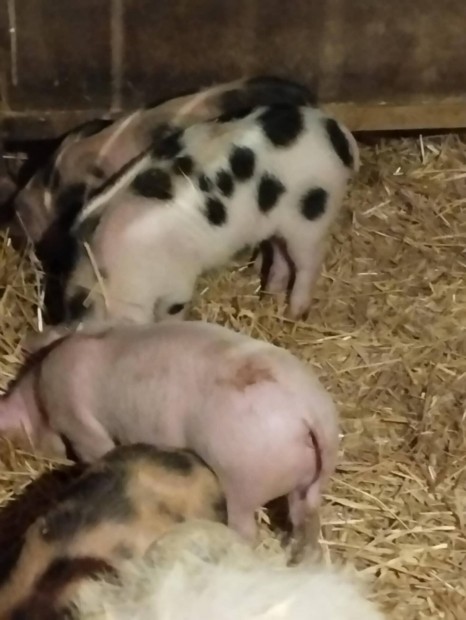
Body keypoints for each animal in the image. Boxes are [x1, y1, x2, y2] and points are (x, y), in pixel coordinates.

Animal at [0, 320, 339, 545]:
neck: (38, 395)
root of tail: (309, 412)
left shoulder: (81, 427)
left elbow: (95, 450)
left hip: (241, 476)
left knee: (246, 530)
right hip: (309, 480)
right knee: (305, 518)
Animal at [62, 102, 359, 325]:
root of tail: (337, 131)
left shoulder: (177, 284)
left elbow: (172, 310)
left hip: (312, 218)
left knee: (309, 262)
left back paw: (294, 313)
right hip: (277, 223)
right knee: (280, 256)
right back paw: (268, 297)